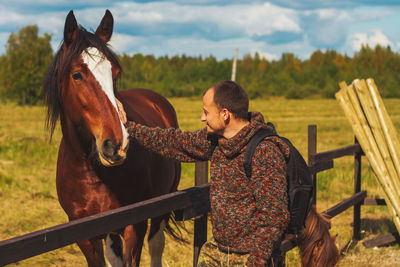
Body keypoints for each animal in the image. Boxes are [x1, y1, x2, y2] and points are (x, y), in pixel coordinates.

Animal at [42, 9, 180, 266]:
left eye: (114, 73)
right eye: (77, 75)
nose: (116, 144)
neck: (92, 174)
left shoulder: (135, 226)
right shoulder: (85, 237)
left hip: (161, 207)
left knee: (156, 245)